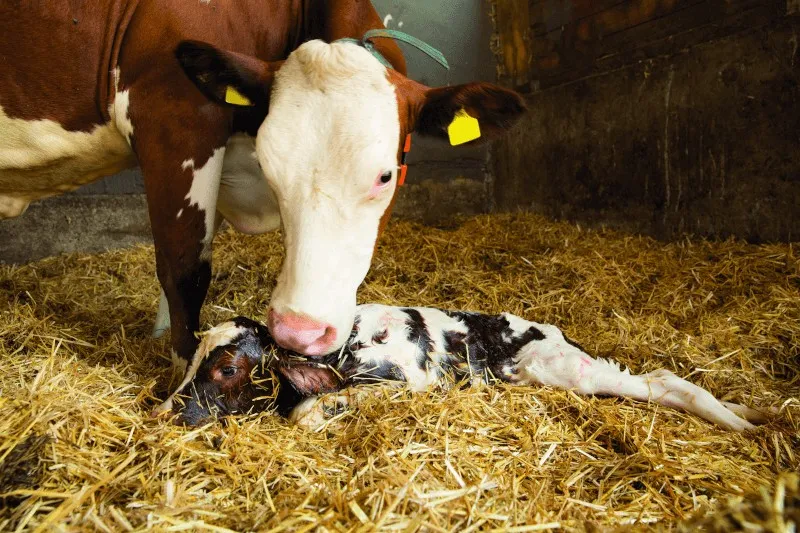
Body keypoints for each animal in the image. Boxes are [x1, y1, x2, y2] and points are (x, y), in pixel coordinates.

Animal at [0, 2, 526, 392]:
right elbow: (184, 269)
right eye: (270, 166)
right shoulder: (174, 116)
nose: (300, 331)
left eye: (384, 176)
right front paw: (183, 371)